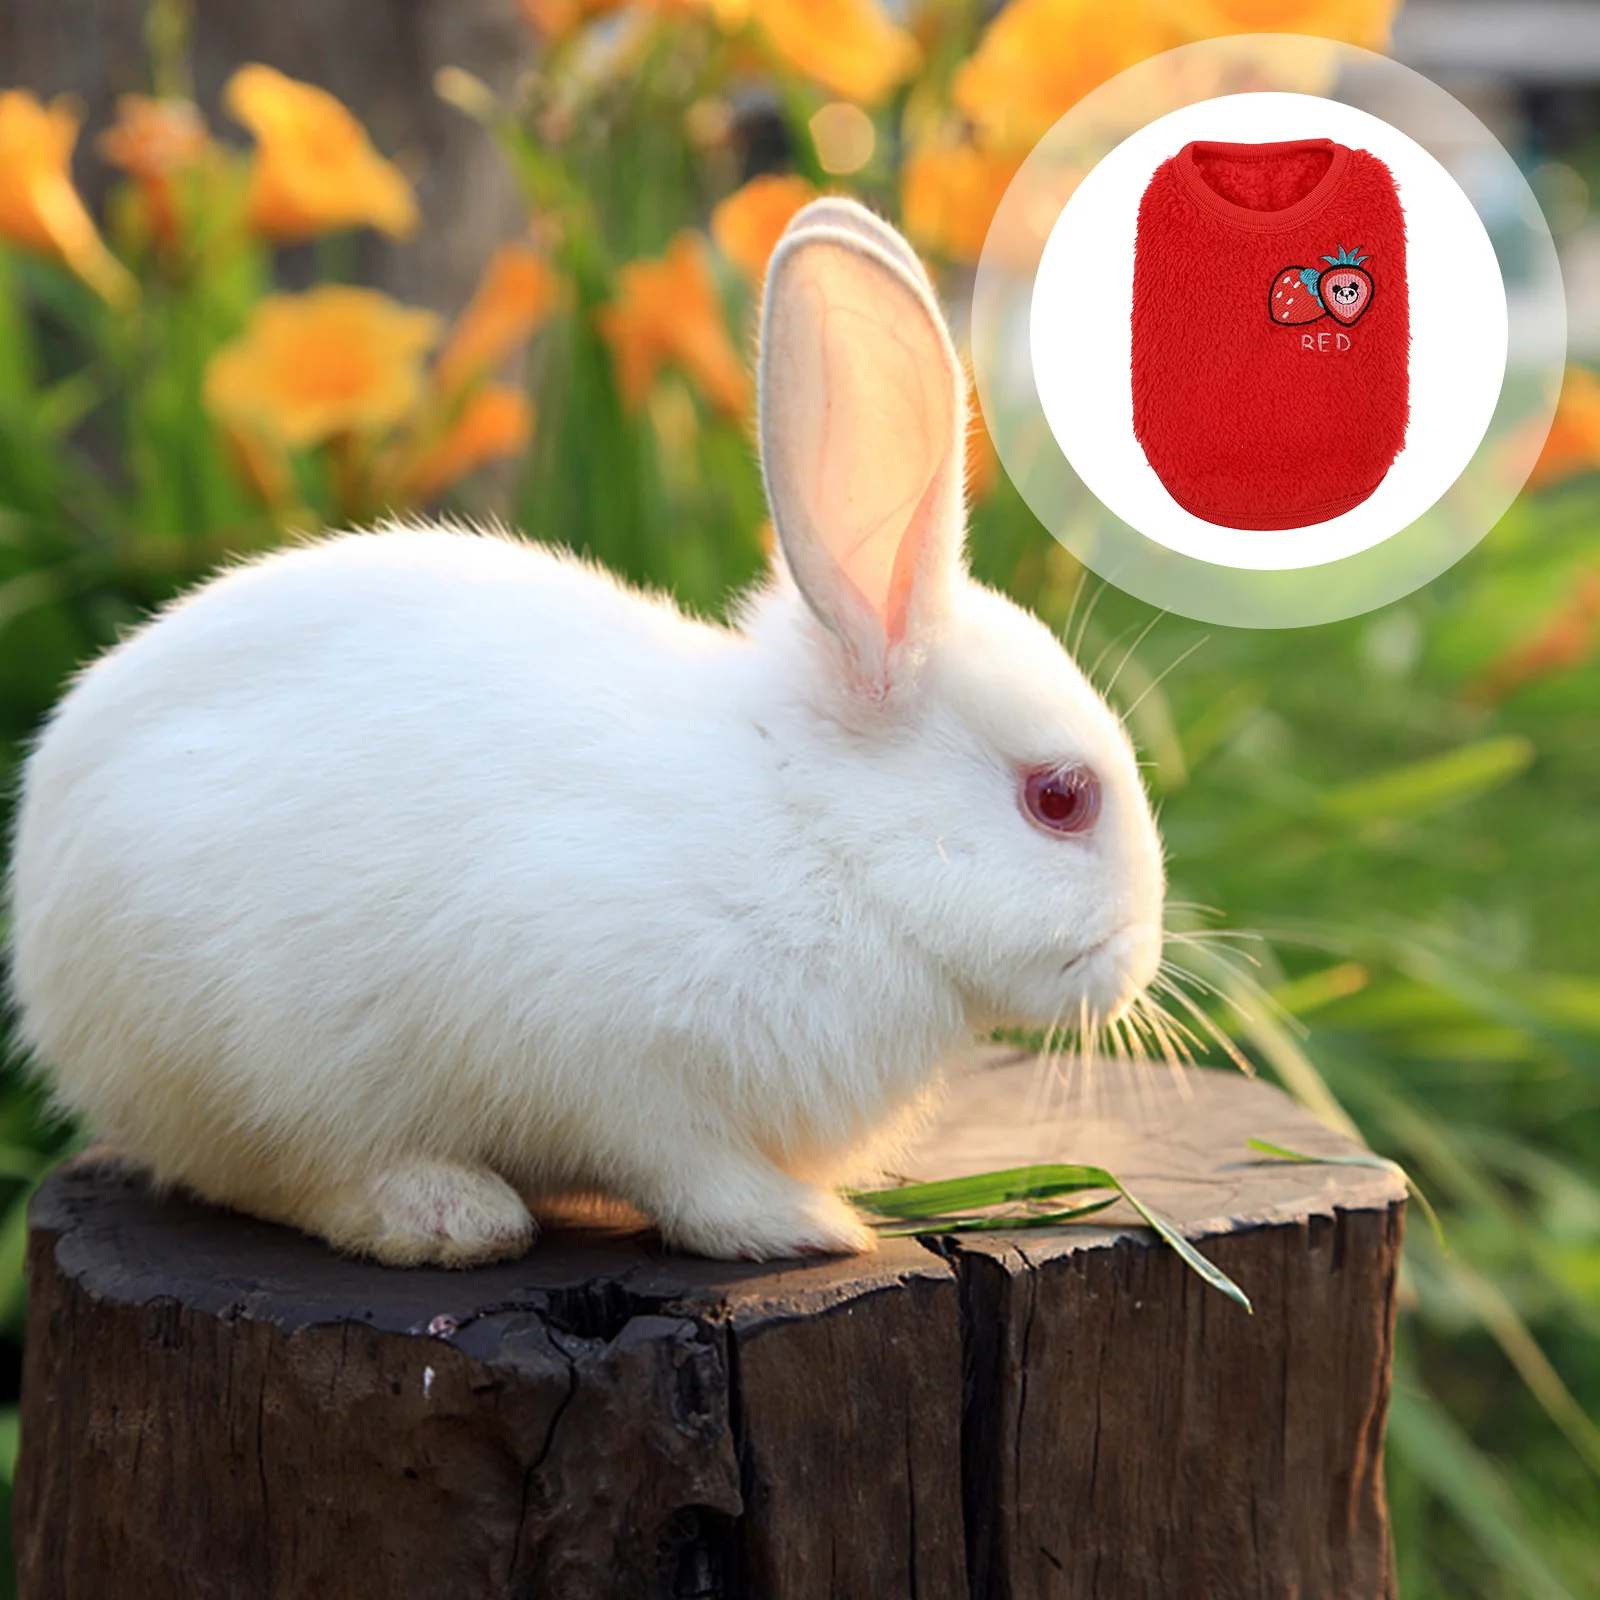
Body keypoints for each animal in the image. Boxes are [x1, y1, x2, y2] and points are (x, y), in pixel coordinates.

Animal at [7, 200, 1166, 1267]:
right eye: (1060, 798)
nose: (1136, 965)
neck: (818, 830)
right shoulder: (623, 1059)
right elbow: (688, 1172)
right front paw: (806, 1226)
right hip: (249, 1057)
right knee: (275, 1172)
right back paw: (449, 1216)